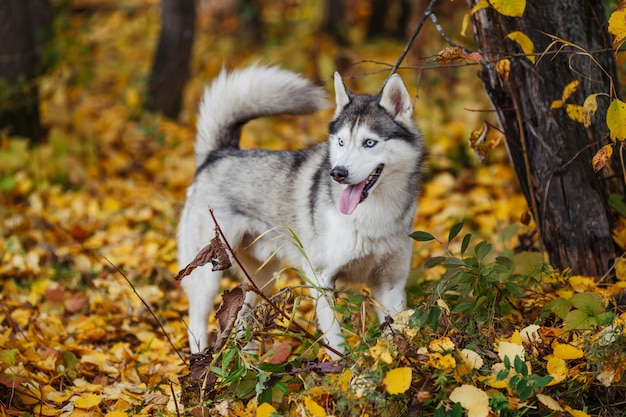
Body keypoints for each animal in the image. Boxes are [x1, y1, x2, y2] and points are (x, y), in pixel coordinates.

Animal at [178, 65, 422, 358]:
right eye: (341, 142)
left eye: (369, 143)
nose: (337, 173)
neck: (372, 216)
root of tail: (218, 154)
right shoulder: (321, 278)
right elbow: (336, 340)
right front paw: (342, 367)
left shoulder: (391, 283)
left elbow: (395, 335)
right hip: (207, 276)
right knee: (197, 323)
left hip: (261, 280)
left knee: (243, 321)